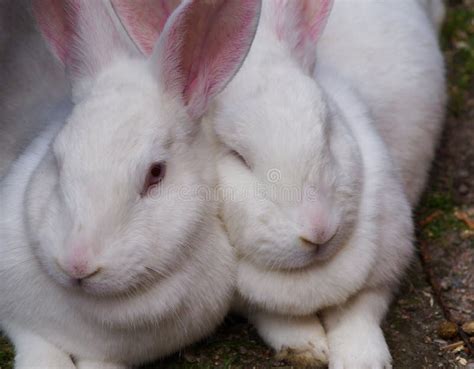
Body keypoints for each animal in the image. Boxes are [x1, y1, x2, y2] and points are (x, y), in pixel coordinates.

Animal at [209, 0, 446, 368]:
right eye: (237, 156)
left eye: (328, 129)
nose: (318, 229)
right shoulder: (245, 301)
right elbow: (273, 318)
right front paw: (307, 349)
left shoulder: (384, 270)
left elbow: (358, 312)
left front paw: (362, 360)